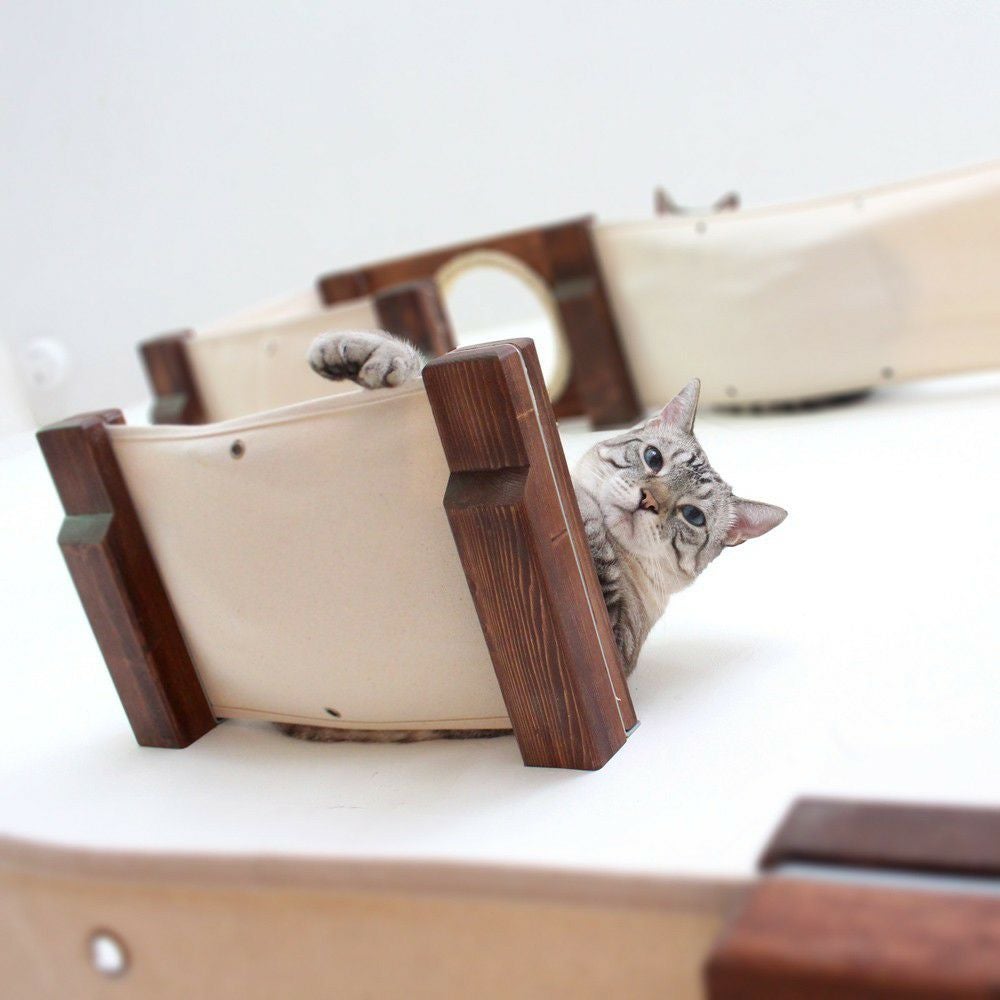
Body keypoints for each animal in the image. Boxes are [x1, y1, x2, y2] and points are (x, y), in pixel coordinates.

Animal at [277, 331, 786, 743]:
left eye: (693, 516)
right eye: (653, 458)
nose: (647, 500)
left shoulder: (612, 648)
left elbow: (598, 554)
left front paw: (580, 500)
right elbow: (415, 363)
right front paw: (357, 356)